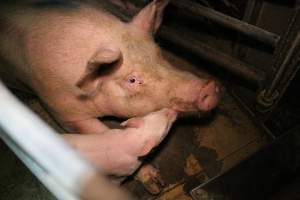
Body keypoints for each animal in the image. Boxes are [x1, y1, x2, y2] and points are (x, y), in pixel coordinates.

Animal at [0, 0, 220, 194]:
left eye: (159, 53)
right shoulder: (62, 110)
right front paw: (155, 184)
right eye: (132, 80)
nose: (209, 87)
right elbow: (101, 133)